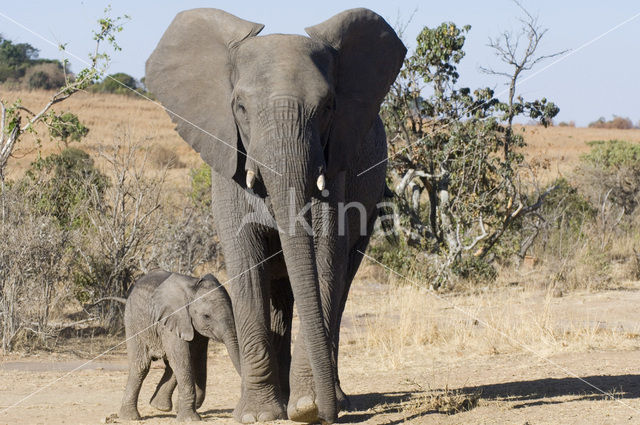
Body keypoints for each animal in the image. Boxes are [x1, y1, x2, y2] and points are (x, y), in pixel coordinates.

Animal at [119, 270, 241, 420]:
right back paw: (130, 417)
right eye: (206, 316)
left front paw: (181, 409)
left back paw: (160, 407)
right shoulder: (170, 320)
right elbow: (183, 358)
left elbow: (197, 359)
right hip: (133, 321)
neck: (192, 290)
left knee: (172, 364)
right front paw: (190, 419)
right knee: (141, 365)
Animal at [147, 8, 402, 422]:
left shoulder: (337, 164)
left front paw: (306, 406)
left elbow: (325, 258)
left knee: (342, 280)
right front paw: (259, 414)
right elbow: (247, 261)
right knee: (280, 292)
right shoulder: (227, 156)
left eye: (328, 107)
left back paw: (334, 398)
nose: (323, 413)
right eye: (240, 108)